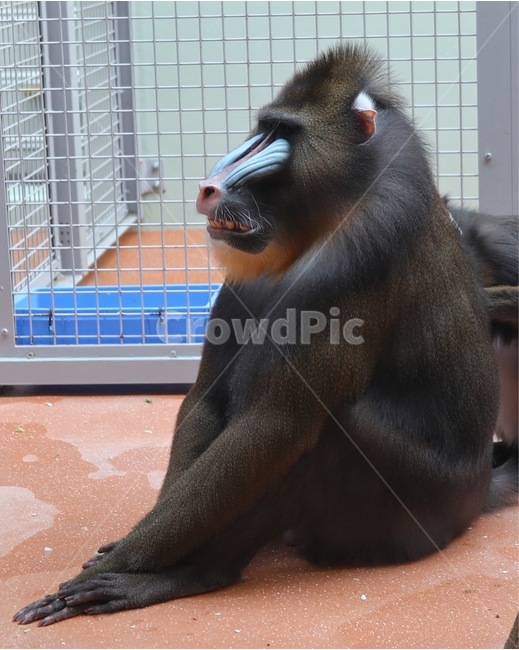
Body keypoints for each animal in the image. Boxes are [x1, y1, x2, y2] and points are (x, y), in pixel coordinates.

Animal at [14, 44, 518, 627]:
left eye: (284, 133)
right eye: (264, 125)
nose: (210, 187)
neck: (321, 218)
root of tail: (477, 493)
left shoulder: (353, 265)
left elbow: (275, 426)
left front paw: (122, 564)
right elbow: (206, 399)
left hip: (418, 516)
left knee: (322, 434)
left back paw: (194, 573)